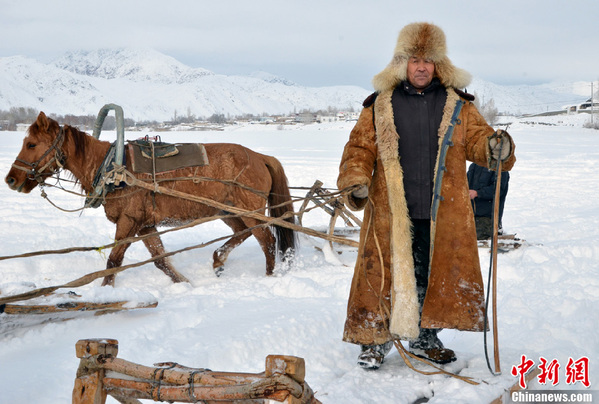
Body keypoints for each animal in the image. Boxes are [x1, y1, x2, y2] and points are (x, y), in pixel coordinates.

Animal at [4, 112, 296, 286]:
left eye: (31, 144)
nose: (11, 179)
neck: (113, 170)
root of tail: (261, 157)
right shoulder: (145, 225)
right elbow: (161, 260)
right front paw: (184, 284)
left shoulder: (129, 221)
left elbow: (113, 262)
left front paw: (105, 293)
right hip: (228, 211)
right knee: (243, 234)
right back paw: (218, 259)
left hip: (249, 211)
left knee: (267, 241)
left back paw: (268, 278)